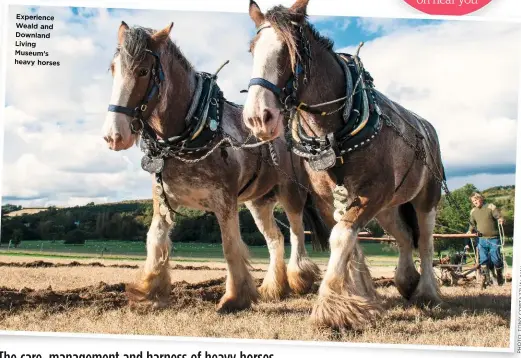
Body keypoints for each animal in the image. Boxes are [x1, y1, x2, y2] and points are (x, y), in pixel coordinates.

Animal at [101, 22, 330, 314]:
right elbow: (156, 240)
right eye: (113, 68)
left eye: (142, 71)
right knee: (275, 239)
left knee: (296, 232)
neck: (187, 135)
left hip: (291, 192)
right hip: (258, 202)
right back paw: (274, 288)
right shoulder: (162, 200)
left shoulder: (225, 200)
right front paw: (148, 292)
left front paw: (235, 298)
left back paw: (300, 278)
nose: (113, 136)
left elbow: (230, 246)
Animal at [242, 0, 448, 330]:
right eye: (252, 49)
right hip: (389, 207)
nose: (259, 118)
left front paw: (331, 308)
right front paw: (358, 297)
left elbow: (342, 237)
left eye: (291, 50)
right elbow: (348, 240)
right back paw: (406, 281)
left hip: (426, 198)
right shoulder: (330, 198)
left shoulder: (371, 192)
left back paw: (426, 292)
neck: (335, 131)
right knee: (404, 237)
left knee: (426, 242)